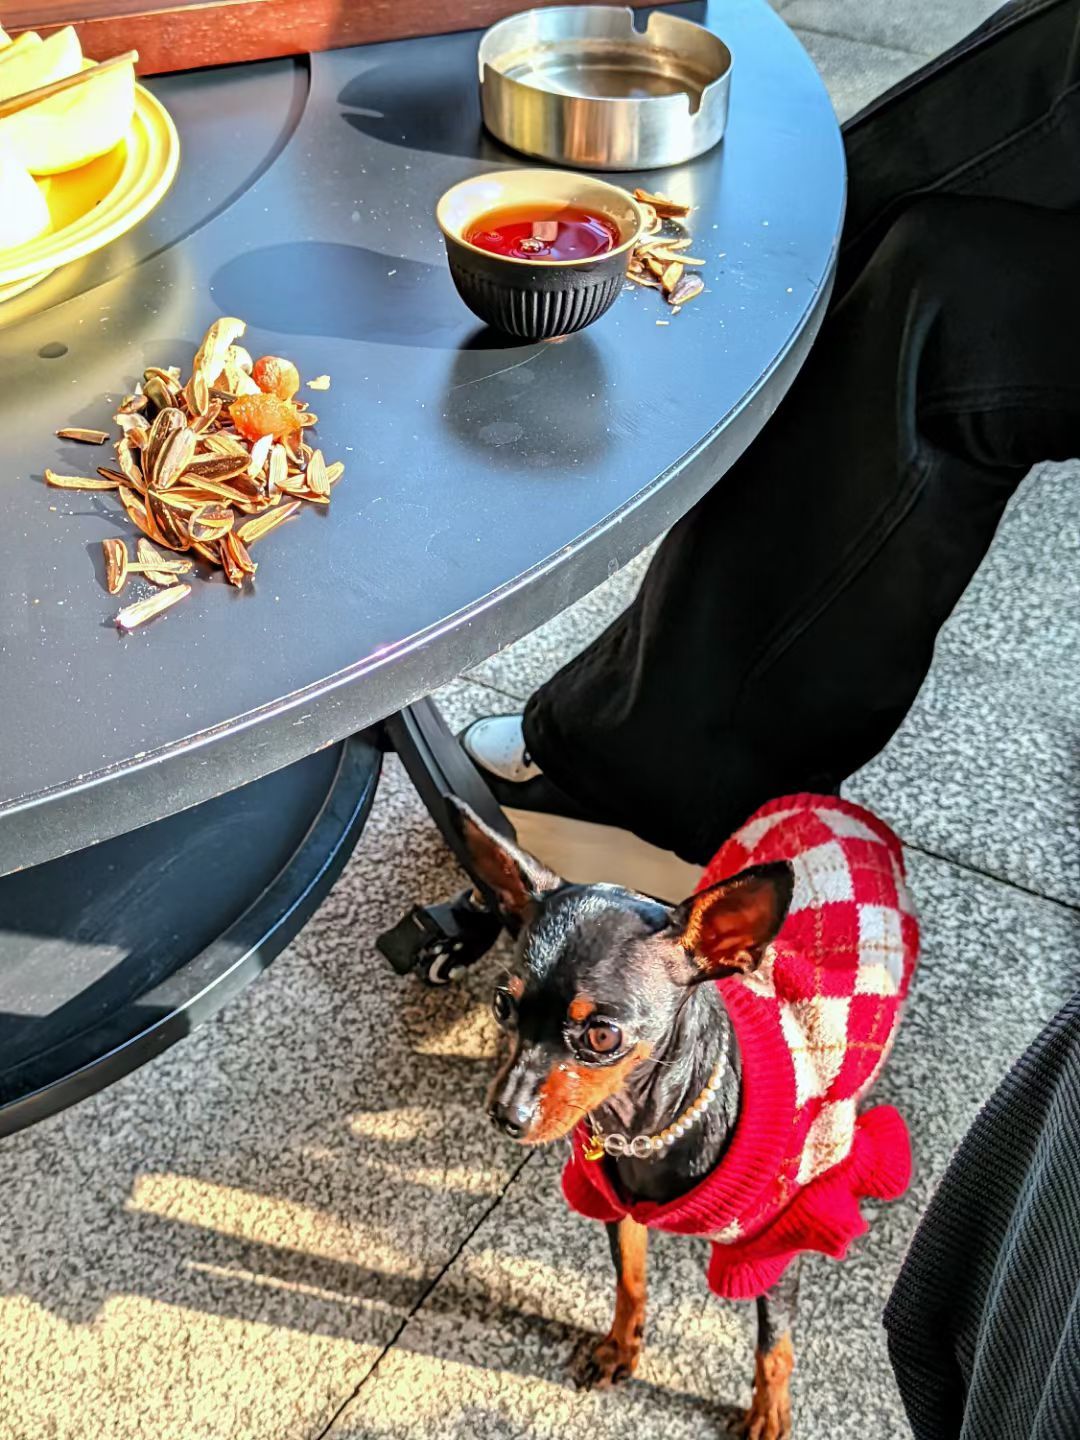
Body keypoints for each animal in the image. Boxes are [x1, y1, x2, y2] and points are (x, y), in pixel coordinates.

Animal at [453, 792, 918, 1440]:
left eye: (602, 1035)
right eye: (503, 1004)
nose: (505, 1114)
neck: (644, 1129)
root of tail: (831, 802)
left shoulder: (775, 1243)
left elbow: (774, 1345)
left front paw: (768, 1411)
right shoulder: (617, 1206)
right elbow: (629, 1278)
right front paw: (622, 1348)